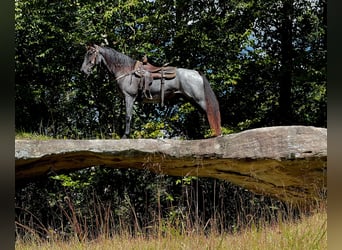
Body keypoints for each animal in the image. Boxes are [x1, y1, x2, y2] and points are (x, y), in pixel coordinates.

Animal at [79, 45, 222, 139]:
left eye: (90, 53)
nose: (83, 71)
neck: (126, 71)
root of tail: (197, 73)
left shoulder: (129, 97)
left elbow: (128, 116)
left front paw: (125, 136)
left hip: (200, 100)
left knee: (210, 114)